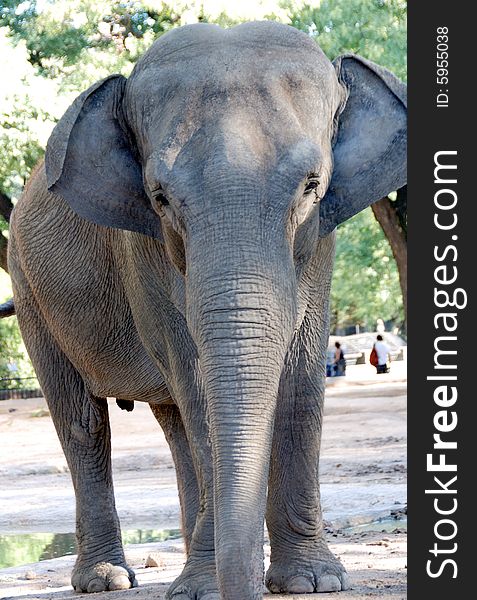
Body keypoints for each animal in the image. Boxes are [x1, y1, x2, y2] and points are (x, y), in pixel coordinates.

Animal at [6, 21, 406, 596]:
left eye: (312, 186)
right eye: (159, 197)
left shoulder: (320, 239)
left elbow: (301, 377)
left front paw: (313, 581)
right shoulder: (143, 249)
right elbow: (195, 374)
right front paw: (206, 590)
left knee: (174, 421)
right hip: (28, 287)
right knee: (84, 421)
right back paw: (108, 580)